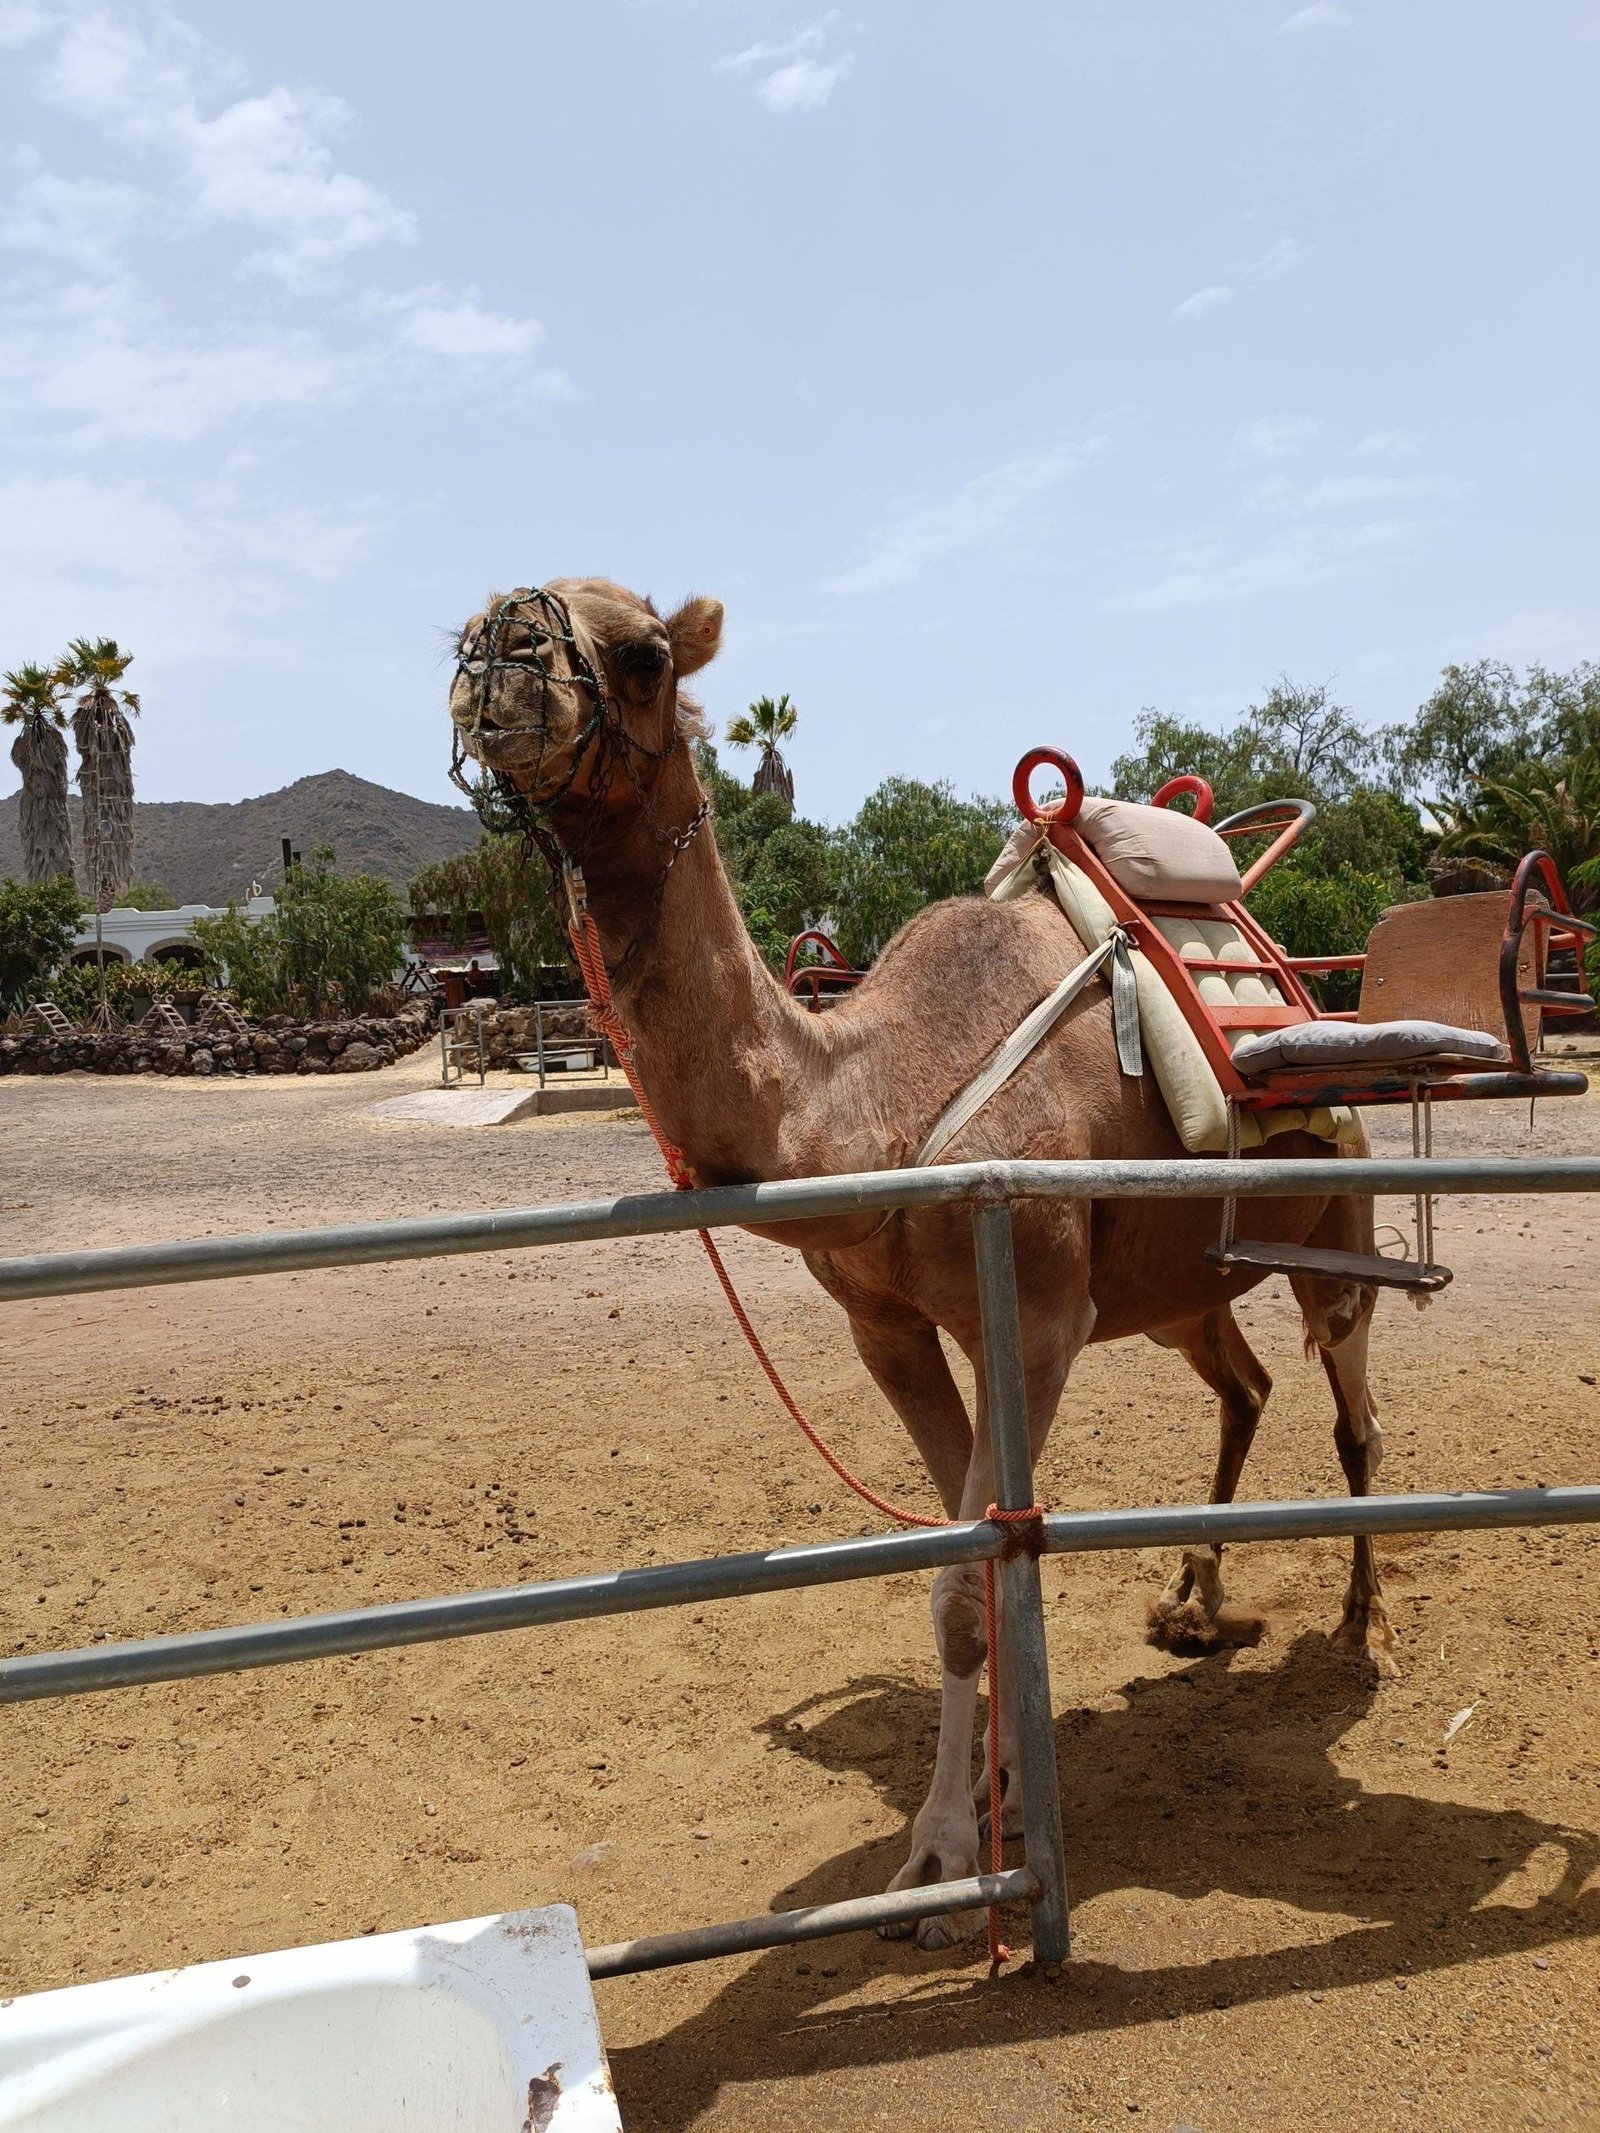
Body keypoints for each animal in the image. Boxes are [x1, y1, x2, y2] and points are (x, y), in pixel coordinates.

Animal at [448, 577, 1389, 1951]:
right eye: (467, 628)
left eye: (643, 654)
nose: (503, 655)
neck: (872, 1101)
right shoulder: (886, 1328)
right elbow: (965, 1555)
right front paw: (994, 1803)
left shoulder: (1040, 1314)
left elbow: (962, 1582)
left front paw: (946, 1862)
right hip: (1174, 1283)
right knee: (1244, 1384)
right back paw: (1194, 1603)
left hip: (1333, 1213)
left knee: (1350, 1407)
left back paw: (1365, 1626)